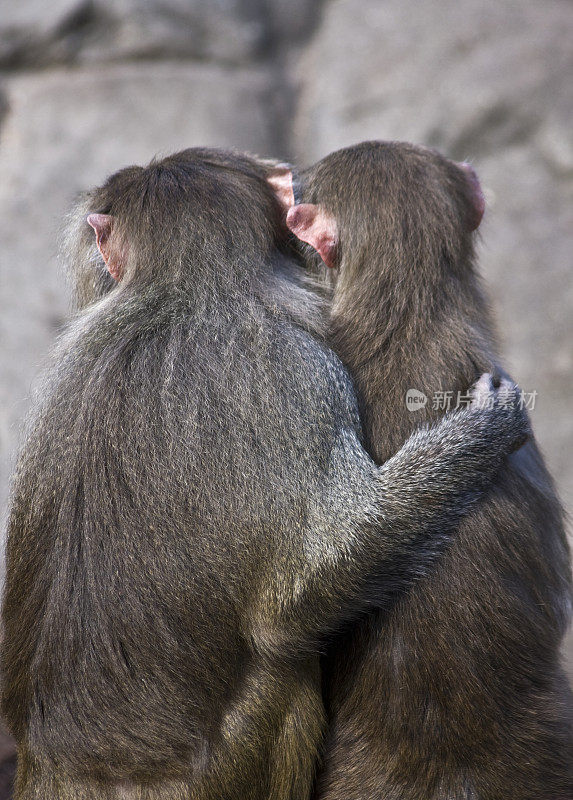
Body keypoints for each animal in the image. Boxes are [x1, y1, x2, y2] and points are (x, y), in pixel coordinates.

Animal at [1, 145, 528, 800]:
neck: (185, 288)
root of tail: (71, 767)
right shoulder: (301, 368)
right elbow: (306, 588)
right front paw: (486, 429)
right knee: (283, 662)